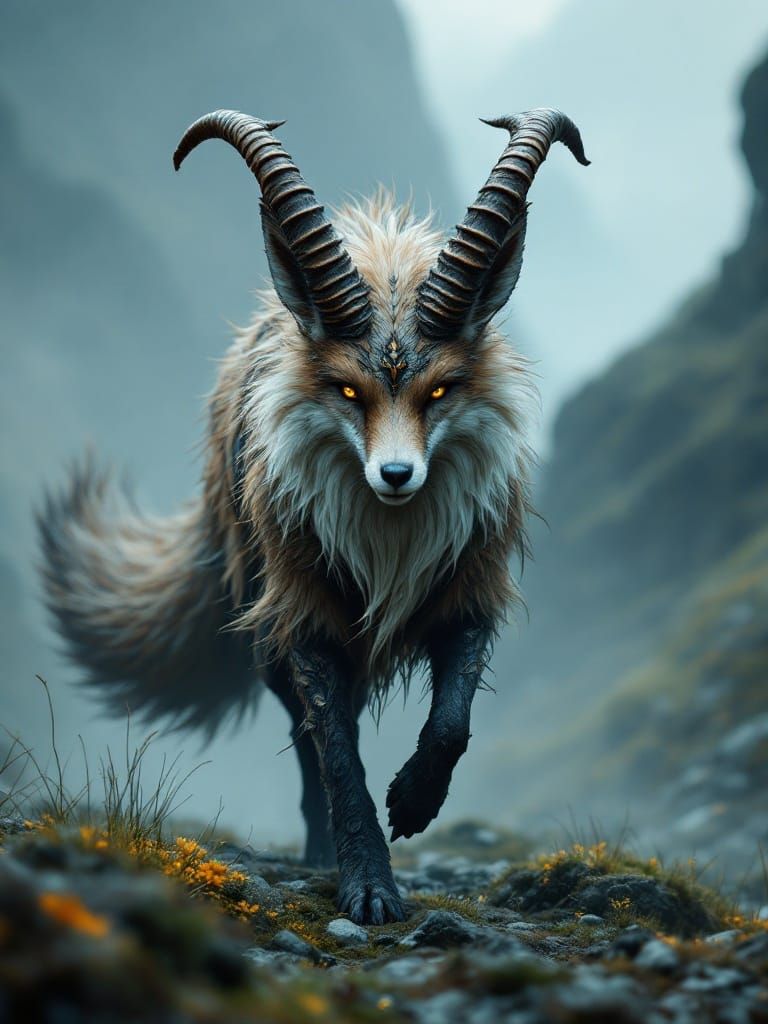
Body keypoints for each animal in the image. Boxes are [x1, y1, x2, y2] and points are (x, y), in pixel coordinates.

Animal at [40, 108, 588, 924]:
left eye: (440, 391)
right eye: (347, 391)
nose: (396, 476)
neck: (389, 546)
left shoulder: (468, 588)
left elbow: (451, 725)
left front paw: (413, 804)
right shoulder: (304, 610)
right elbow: (334, 754)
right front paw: (367, 882)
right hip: (264, 619)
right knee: (309, 738)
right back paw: (319, 852)